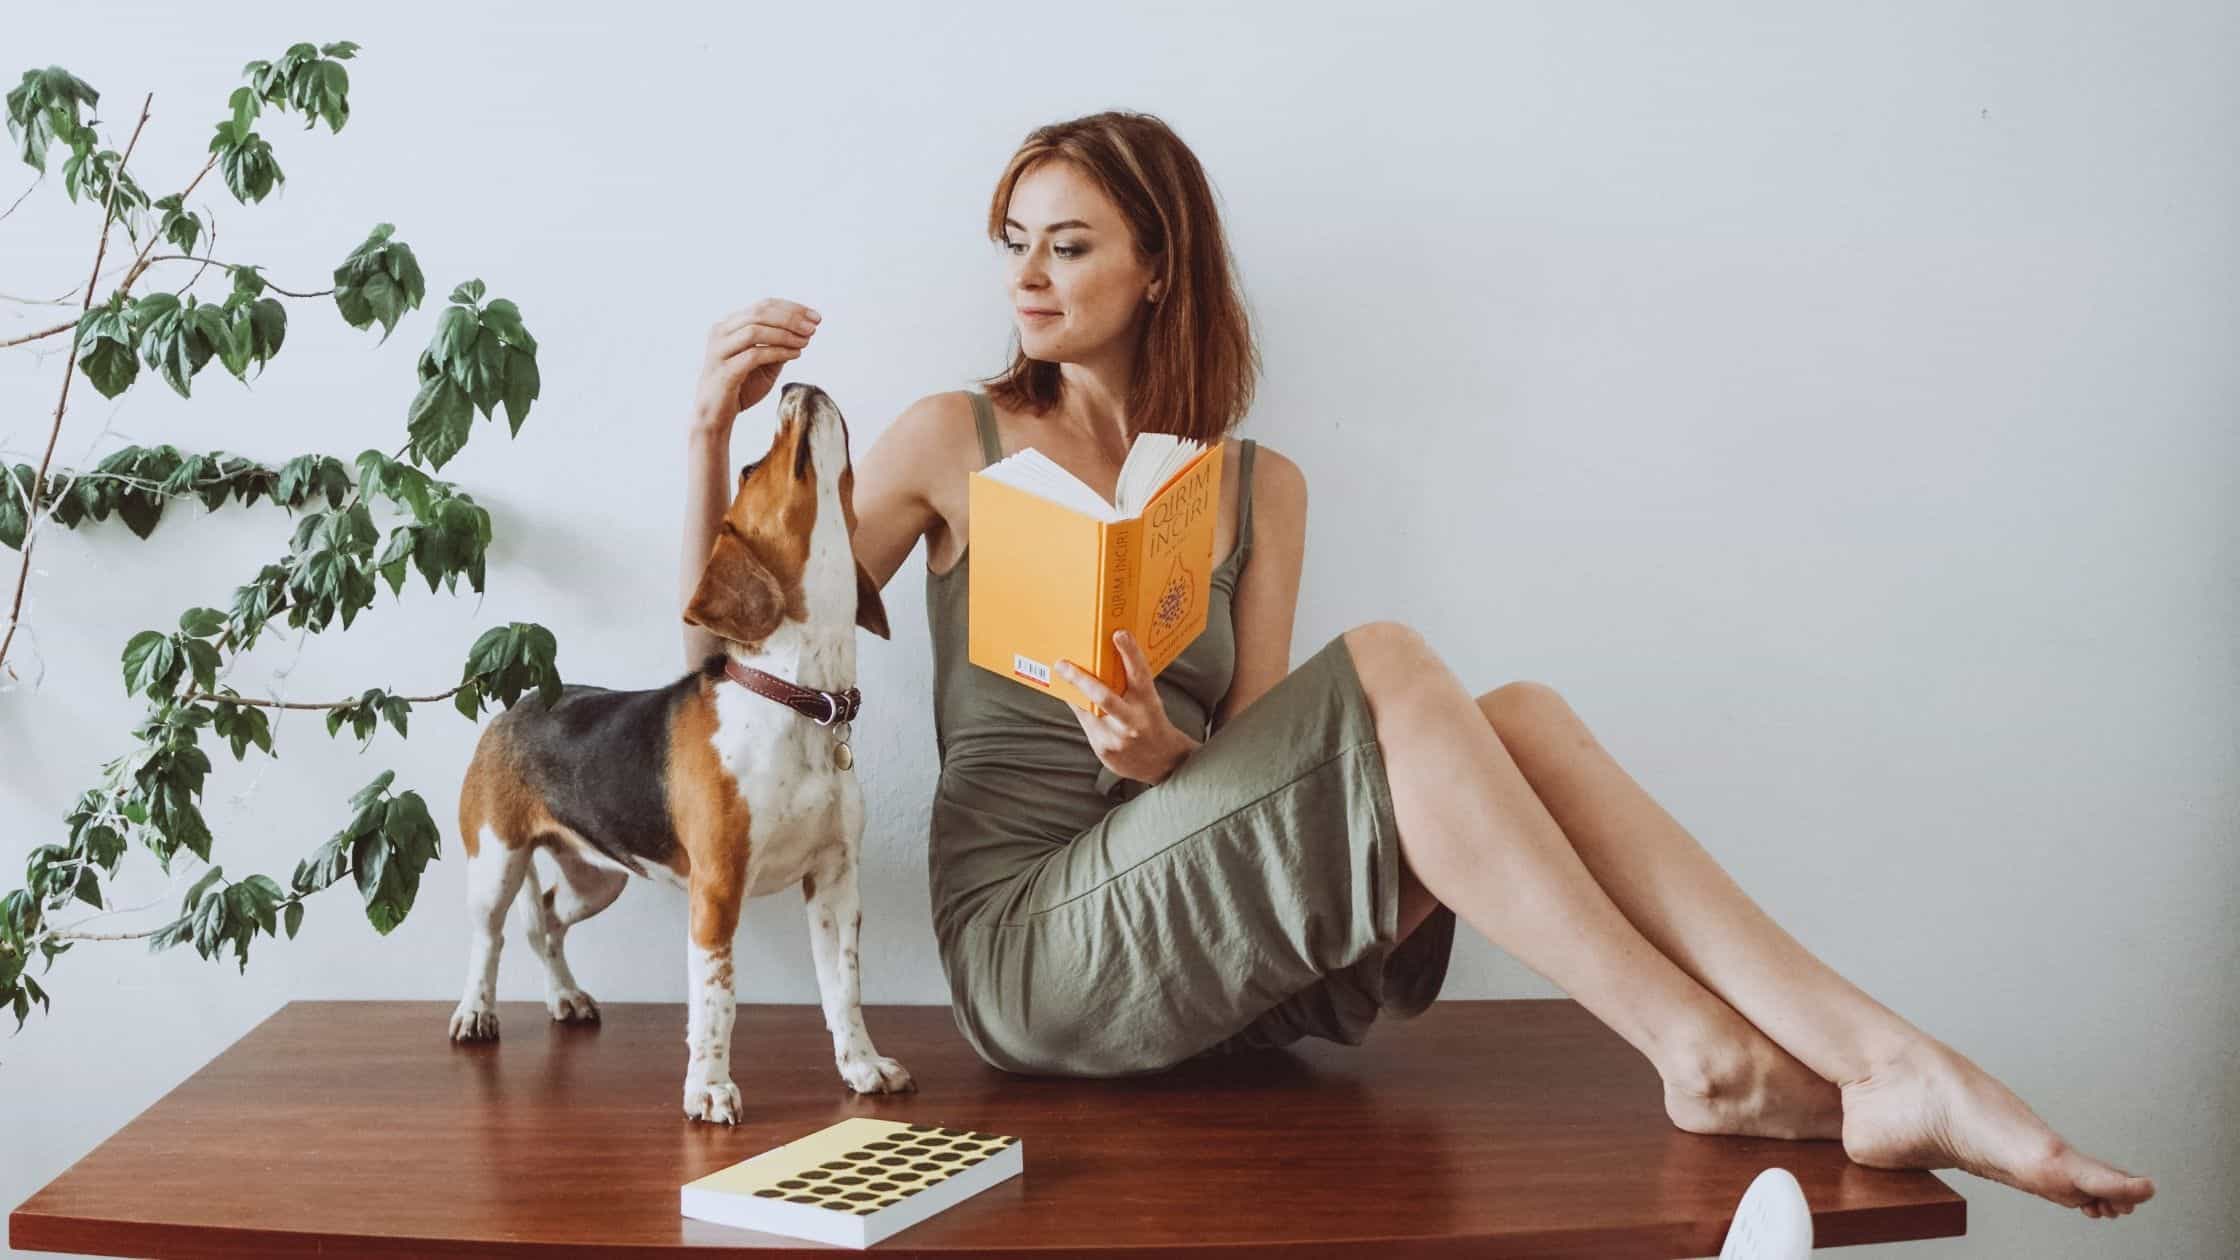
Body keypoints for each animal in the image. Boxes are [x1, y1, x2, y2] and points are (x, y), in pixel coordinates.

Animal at [450, 381, 913, 1116]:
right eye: (749, 469)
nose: (794, 386)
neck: (795, 698)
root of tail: (518, 704)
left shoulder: (837, 883)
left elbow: (845, 991)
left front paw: (862, 1068)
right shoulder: (716, 890)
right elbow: (717, 1000)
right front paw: (711, 1089)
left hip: (597, 878)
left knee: (545, 920)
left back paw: (565, 998)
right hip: (494, 862)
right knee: (489, 939)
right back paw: (475, 1012)